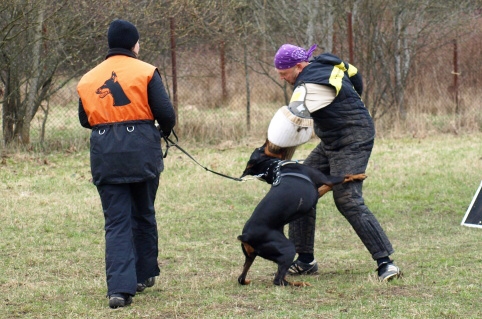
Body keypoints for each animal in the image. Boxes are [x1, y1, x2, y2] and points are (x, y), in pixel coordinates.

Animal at [237, 142, 366, 288]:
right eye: (260, 148)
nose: (266, 142)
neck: (274, 168)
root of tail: (245, 236)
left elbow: (324, 188)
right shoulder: (326, 179)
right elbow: (342, 178)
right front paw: (359, 175)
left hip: (250, 256)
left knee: (241, 278)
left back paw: (248, 280)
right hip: (288, 249)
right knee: (278, 280)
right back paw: (300, 283)